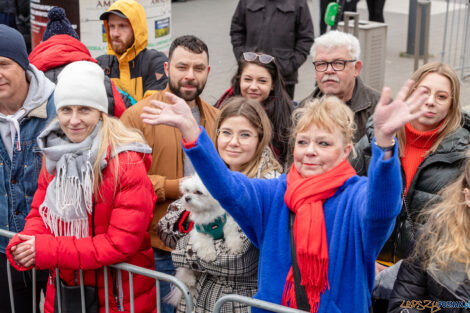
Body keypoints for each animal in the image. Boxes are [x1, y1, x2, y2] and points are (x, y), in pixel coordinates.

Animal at [165, 174, 244, 306]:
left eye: (198, 192)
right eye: (187, 191)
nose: (186, 198)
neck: (208, 214)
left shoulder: (227, 223)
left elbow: (232, 235)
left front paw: (236, 247)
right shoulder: (199, 232)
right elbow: (204, 243)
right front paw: (209, 255)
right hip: (185, 267)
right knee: (185, 270)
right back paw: (190, 280)